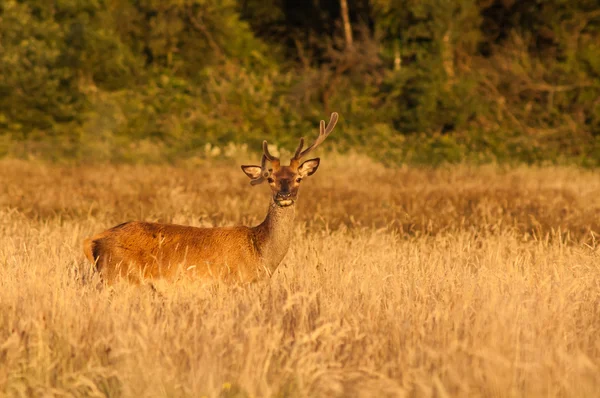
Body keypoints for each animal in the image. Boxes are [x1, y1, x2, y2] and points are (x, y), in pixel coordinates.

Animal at [82, 112, 340, 282]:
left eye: (298, 178)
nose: (284, 194)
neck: (262, 255)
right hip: (119, 277)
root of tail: (94, 240)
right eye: (270, 179)